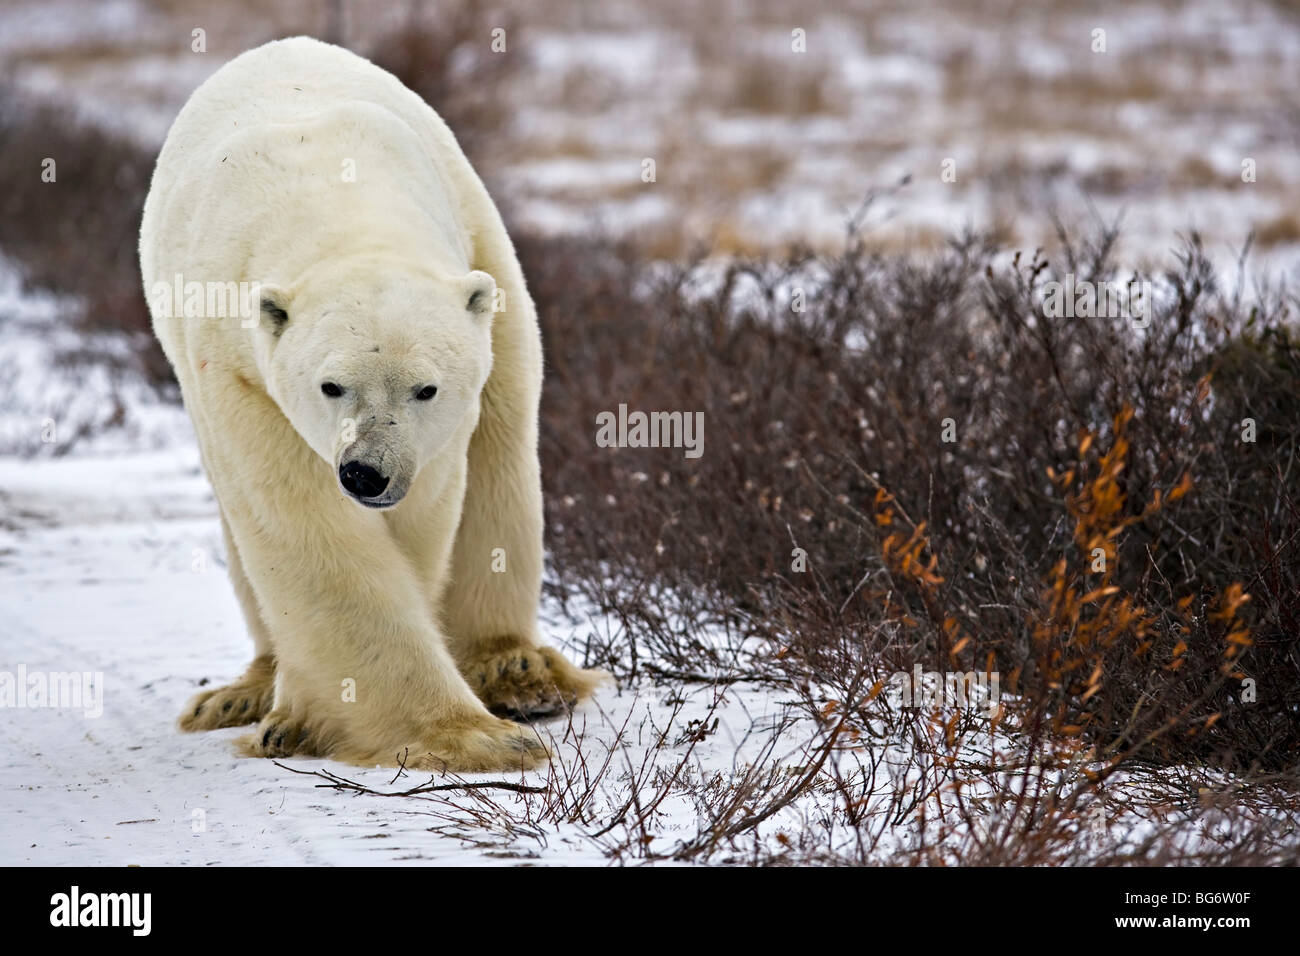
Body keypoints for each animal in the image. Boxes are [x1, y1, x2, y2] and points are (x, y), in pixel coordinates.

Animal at [139, 35, 605, 780]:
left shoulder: (439, 426)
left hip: (491, 258)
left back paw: (518, 672)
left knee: (505, 437)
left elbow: (423, 518)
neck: (335, 204)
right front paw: (470, 736)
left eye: (425, 388)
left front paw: (491, 729)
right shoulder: (235, 367)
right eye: (331, 386)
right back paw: (241, 695)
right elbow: (299, 525)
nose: (366, 473)